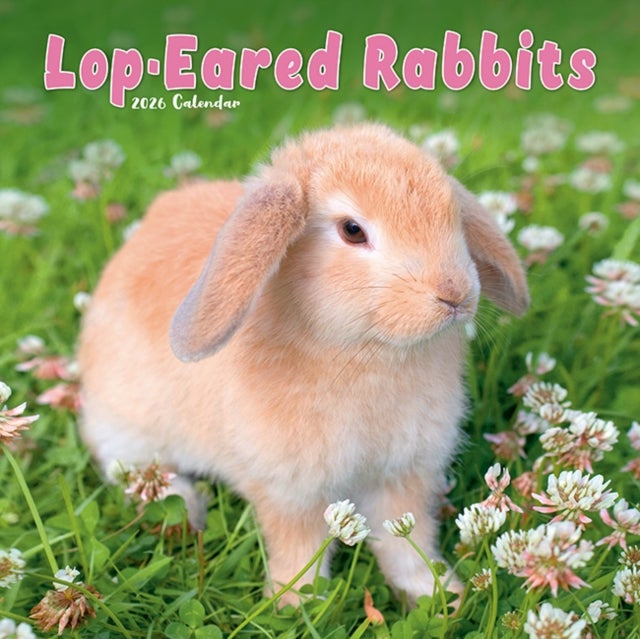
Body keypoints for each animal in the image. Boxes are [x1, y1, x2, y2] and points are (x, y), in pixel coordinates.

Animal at [77, 123, 529, 607]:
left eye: (453, 214)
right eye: (352, 230)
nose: (455, 293)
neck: (367, 352)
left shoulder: (403, 476)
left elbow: (408, 542)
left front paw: (439, 596)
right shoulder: (291, 490)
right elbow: (300, 549)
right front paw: (292, 604)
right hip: (128, 429)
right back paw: (186, 511)